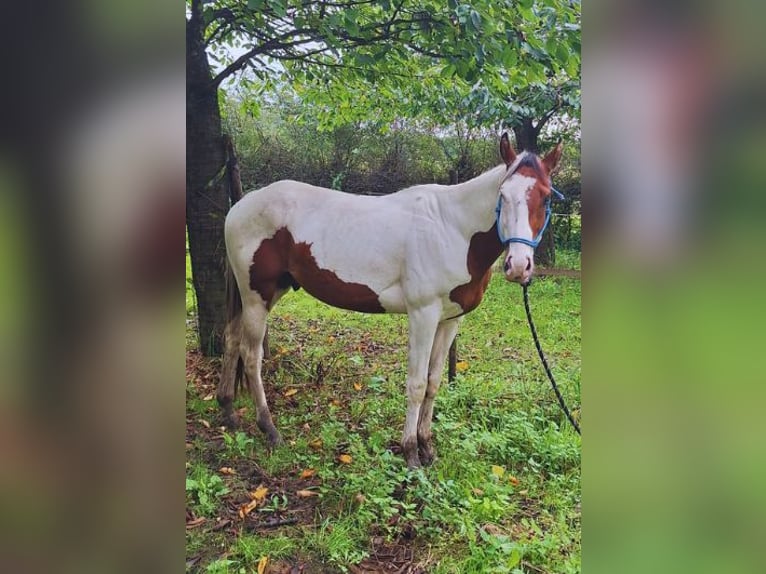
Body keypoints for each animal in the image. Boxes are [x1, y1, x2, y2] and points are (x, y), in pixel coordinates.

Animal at [216, 136, 564, 472]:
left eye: (546, 197)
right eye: (502, 195)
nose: (518, 266)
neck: (453, 229)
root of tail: (239, 206)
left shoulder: (450, 320)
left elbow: (434, 382)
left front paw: (427, 447)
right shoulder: (423, 315)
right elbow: (417, 384)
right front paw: (410, 453)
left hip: (266, 293)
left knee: (231, 339)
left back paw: (228, 411)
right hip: (257, 296)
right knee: (251, 355)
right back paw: (269, 428)